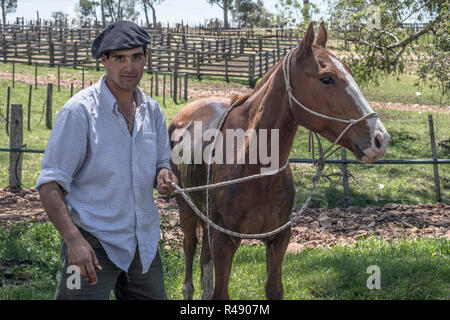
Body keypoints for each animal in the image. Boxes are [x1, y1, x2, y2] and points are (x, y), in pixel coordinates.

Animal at [169, 22, 390, 300]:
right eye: (327, 78)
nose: (380, 139)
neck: (254, 167)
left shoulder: (279, 238)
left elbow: (273, 288)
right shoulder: (223, 240)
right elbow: (221, 291)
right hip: (185, 206)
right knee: (190, 249)